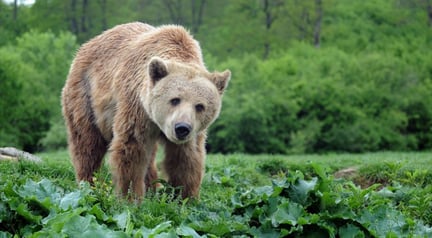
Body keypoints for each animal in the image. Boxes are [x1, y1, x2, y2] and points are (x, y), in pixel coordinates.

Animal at [61, 22, 231, 199]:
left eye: (200, 106)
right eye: (175, 100)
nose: (182, 128)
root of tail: (85, 47)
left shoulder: (192, 133)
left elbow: (186, 158)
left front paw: (185, 197)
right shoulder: (136, 105)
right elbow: (132, 149)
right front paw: (130, 197)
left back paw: (152, 189)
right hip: (85, 96)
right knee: (87, 144)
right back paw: (89, 186)